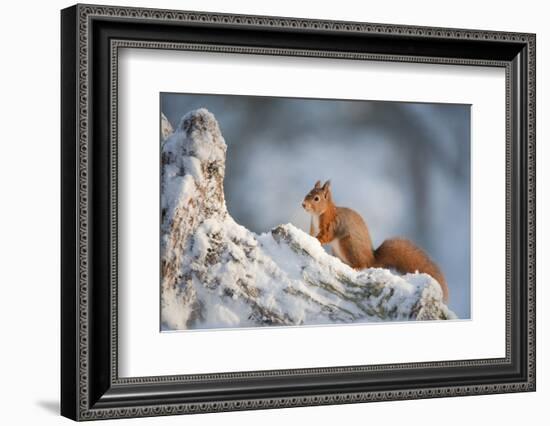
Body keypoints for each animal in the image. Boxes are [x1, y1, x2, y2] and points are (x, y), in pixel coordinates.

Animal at [304, 180, 450, 302]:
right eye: (308, 192)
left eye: (316, 198)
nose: (303, 204)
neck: (318, 215)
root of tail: (372, 260)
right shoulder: (313, 227)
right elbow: (310, 233)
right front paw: (309, 237)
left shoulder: (332, 225)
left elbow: (325, 236)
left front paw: (316, 240)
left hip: (348, 245)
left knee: (362, 264)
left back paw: (357, 267)